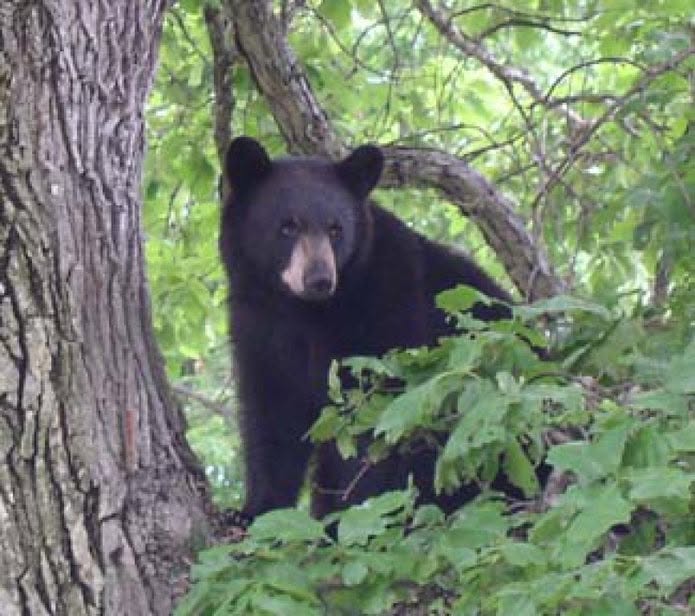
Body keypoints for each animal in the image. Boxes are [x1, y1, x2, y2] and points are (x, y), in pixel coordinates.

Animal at [219, 136, 517, 520]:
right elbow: (272, 419)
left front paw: (350, 516)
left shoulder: (388, 310)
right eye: (287, 226)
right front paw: (254, 510)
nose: (319, 279)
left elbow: (376, 422)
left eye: (335, 229)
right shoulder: (258, 327)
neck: (304, 312)